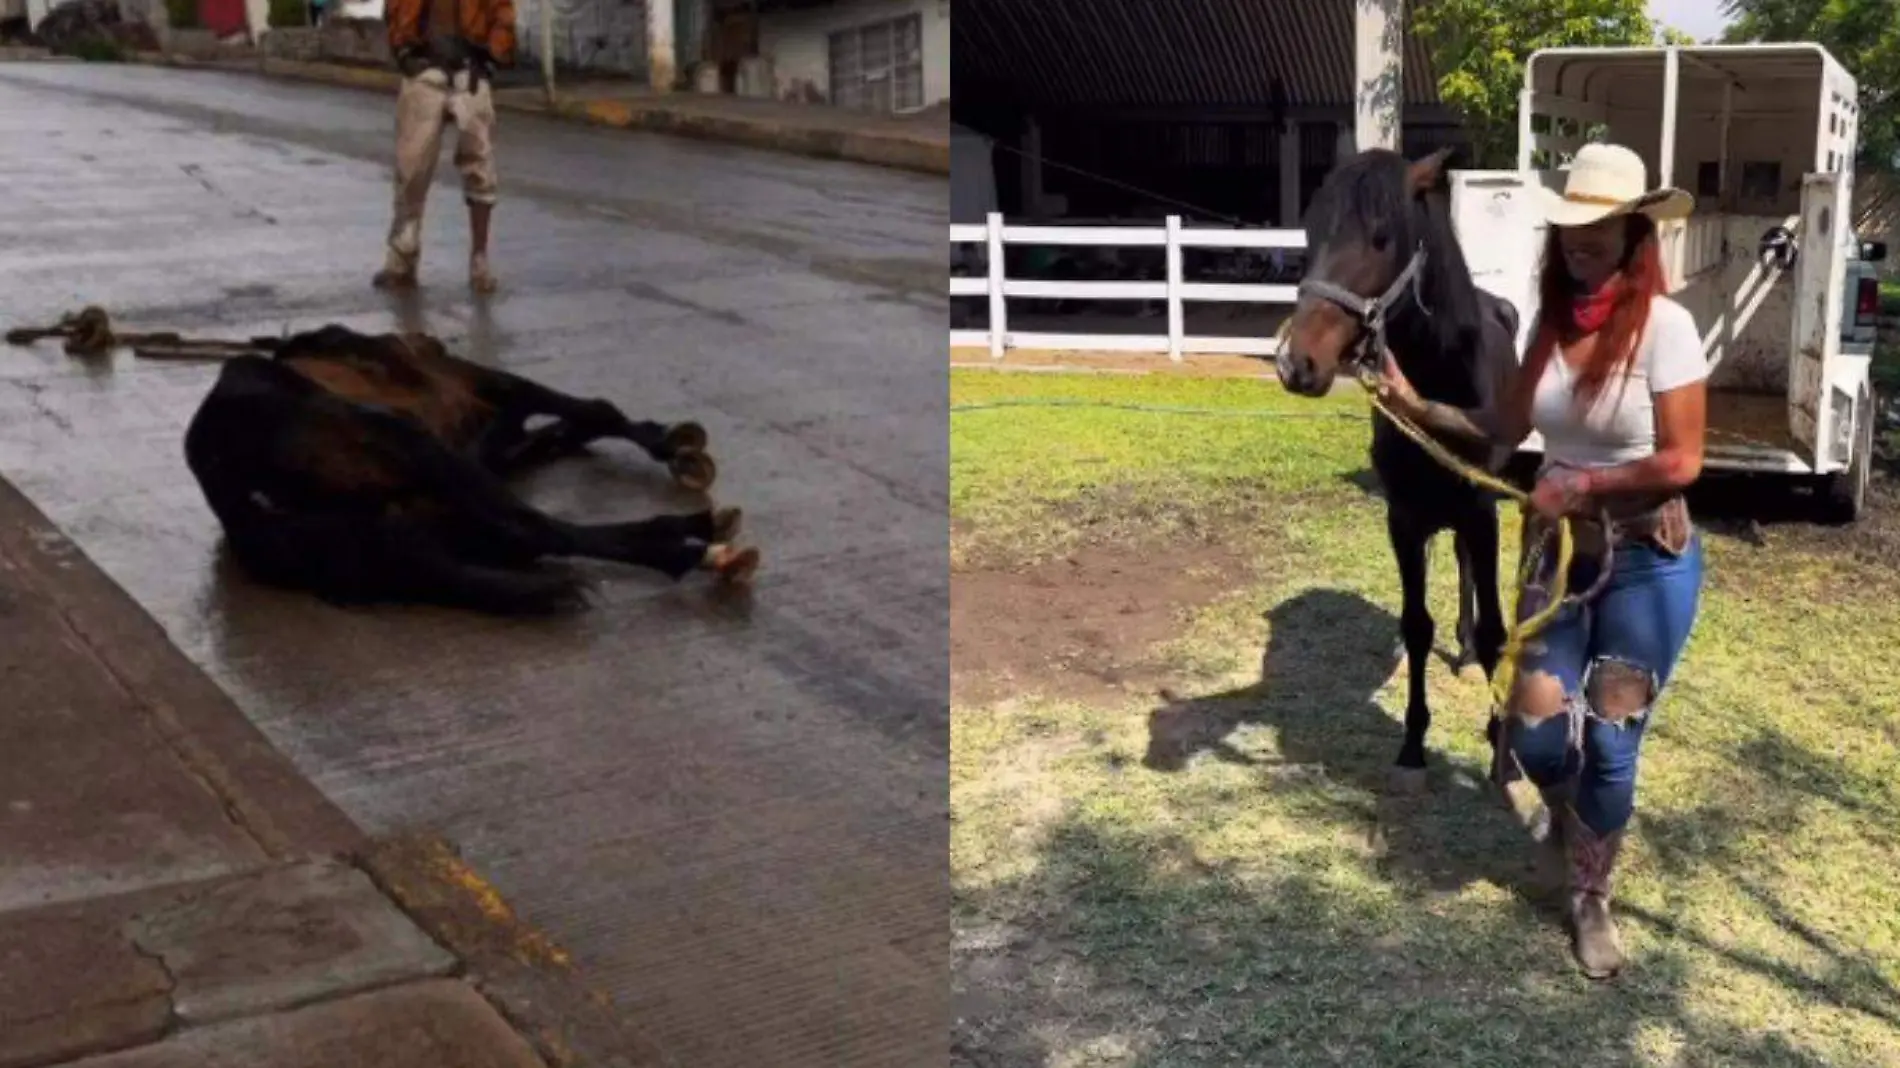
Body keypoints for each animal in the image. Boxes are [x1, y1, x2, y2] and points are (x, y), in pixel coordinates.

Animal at [176, 319, 756, 611]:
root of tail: (244, 498)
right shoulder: (484, 386)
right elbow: (594, 409)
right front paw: (673, 445)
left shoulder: (481, 439)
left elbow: (547, 431)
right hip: (415, 449)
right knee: (534, 529)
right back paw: (693, 541)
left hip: (423, 519)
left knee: (521, 536)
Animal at [1276, 143, 1527, 790]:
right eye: (1310, 231)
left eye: (1381, 238)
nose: (1294, 362)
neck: (1444, 379)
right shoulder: (1405, 518)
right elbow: (1416, 625)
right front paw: (1413, 741)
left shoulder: (1482, 509)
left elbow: (1496, 630)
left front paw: (1500, 744)